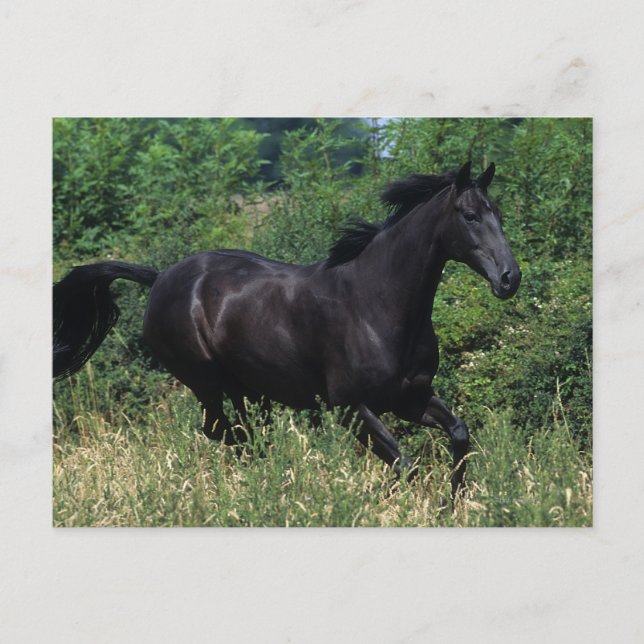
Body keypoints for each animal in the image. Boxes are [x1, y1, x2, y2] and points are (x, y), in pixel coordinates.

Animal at [53, 161, 521, 497]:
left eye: (498, 213)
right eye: (470, 215)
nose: (509, 278)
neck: (376, 303)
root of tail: (161, 277)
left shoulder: (409, 397)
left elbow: (458, 435)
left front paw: (450, 504)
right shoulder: (350, 407)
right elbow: (403, 463)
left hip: (247, 388)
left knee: (248, 435)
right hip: (205, 382)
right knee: (224, 433)